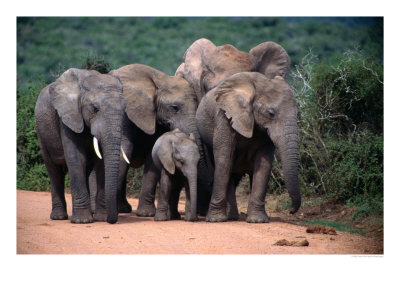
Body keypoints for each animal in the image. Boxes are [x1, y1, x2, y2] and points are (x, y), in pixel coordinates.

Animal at [36, 68, 129, 223]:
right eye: (95, 108)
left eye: (124, 110)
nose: (112, 220)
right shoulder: (68, 117)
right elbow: (76, 158)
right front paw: (82, 221)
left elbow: (101, 162)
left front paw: (101, 218)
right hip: (41, 133)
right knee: (54, 170)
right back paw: (59, 217)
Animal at [108, 64, 211, 217]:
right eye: (174, 108)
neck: (160, 80)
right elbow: (124, 148)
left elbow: (152, 155)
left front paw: (146, 214)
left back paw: (123, 209)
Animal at [195, 72, 302, 223]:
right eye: (270, 114)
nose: (291, 210)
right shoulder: (224, 117)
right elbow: (224, 160)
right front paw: (215, 220)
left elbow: (263, 165)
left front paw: (258, 221)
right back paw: (229, 217)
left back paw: (233, 217)